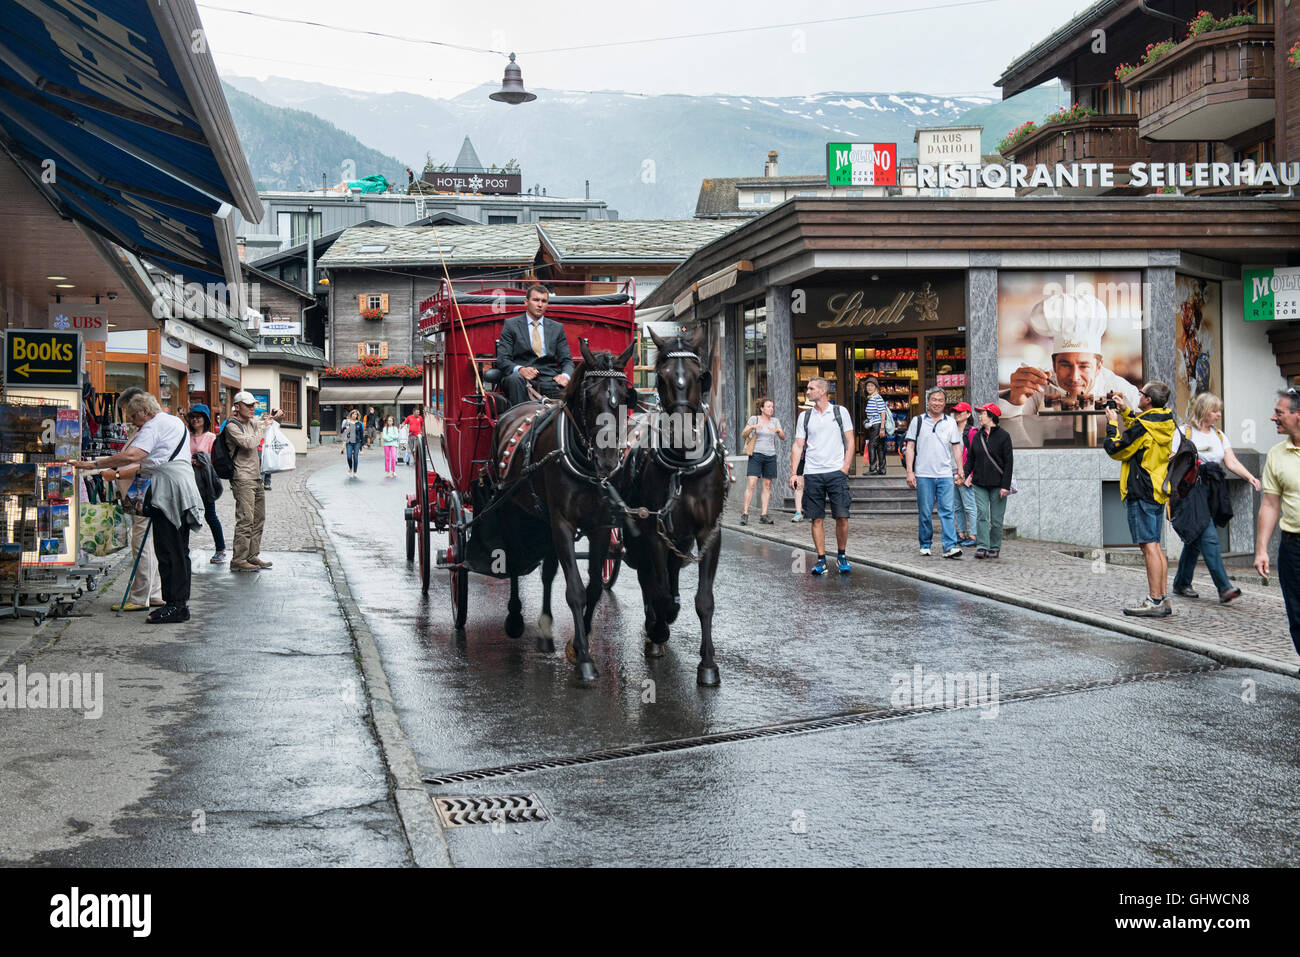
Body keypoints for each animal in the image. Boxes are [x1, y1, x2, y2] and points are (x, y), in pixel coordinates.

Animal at [488, 335, 637, 681]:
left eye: (626, 397)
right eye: (589, 397)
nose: (608, 461)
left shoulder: (600, 525)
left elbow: (593, 587)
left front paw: (579, 643)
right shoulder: (563, 523)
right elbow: (575, 590)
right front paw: (583, 658)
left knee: (547, 573)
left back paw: (544, 631)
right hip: (513, 510)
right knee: (513, 561)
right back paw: (515, 619)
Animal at [618, 325, 733, 686]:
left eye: (701, 376)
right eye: (661, 377)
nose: (682, 432)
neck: (684, 467)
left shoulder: (709, 532)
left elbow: (704, 600)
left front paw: (708, 665)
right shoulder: (653, 531)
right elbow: (659, 592)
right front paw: (660, 628)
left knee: (669, 573)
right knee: (648, 578)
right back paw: (656, 626)